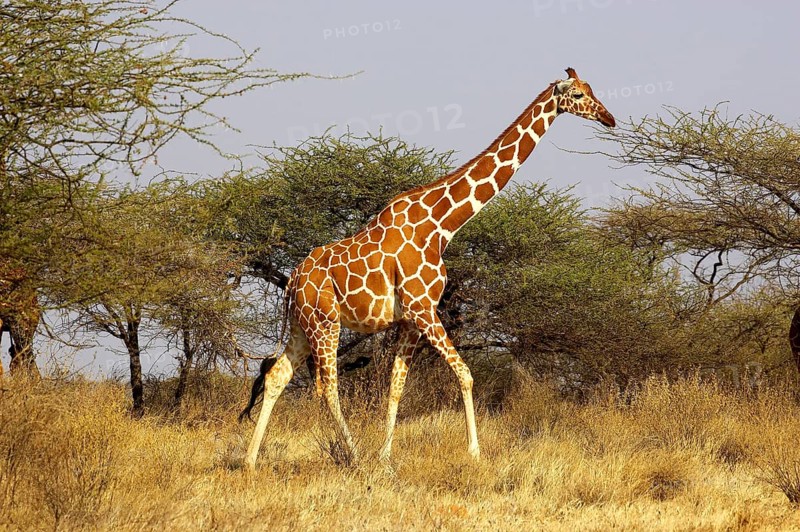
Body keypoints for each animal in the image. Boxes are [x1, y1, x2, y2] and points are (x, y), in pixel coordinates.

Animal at [240, 68, 615, 469]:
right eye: (578, 95)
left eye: (591, 89)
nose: (609, 118)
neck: (441, 225)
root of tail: (293, 280)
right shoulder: (424, 308)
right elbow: (465, 374)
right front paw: (474, 452)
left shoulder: (410, 318)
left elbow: (396, 387)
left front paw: (386, 457)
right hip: (325, 322)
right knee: (327, 387)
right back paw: (353, 454)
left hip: (302, 325)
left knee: (277, 376)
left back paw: (250, 459)